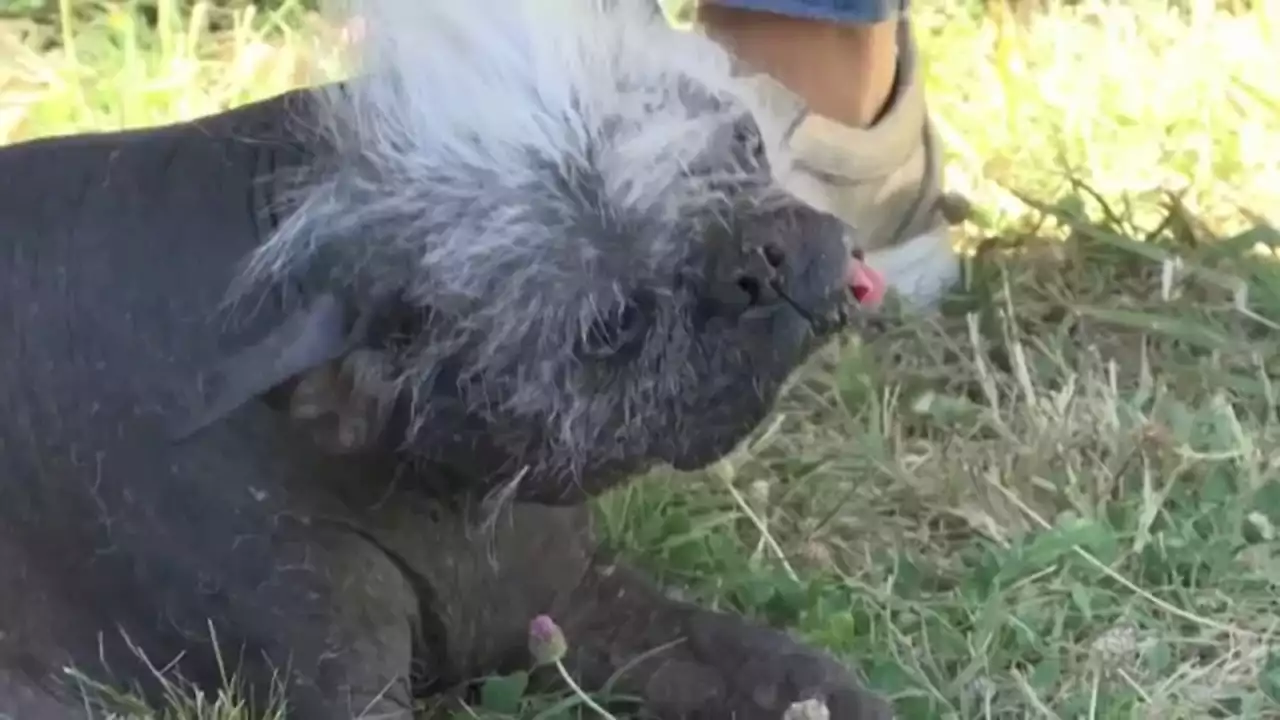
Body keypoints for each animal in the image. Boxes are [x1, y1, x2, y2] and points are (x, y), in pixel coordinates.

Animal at [0, 2, 890, 712]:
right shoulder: (338, 676)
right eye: (611, 324)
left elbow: (776, 664)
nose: (761, 264)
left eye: (747, 145)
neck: (447, 502)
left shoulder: (571, 604)